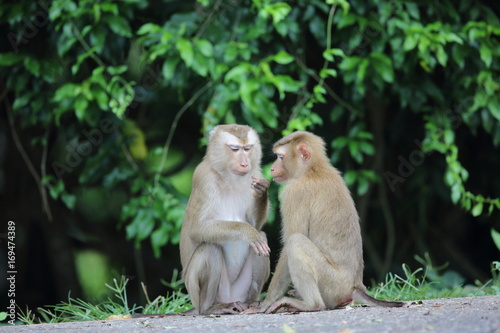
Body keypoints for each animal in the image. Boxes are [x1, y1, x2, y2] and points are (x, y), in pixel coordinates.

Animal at [180, 124, 272, 314]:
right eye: (235, 149)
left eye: (248, 148)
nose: (245, 163)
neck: (228, 176)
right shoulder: (203, 178)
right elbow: (197, 229)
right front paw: (248, 232)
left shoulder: (255, 173)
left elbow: (255, 224)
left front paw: (262, 192)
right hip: (202, 292)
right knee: (210, 248)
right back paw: (210, 308)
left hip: (240, 291)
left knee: (262, 241)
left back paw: (250, 304)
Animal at [244, 130, 404, 314]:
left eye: (280, 157)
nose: (272, 168)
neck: (313, 170)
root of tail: (356, 287)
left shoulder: (294, 192)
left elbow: (291, 240)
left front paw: (266, 302)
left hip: (332, 285)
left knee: (295, 242)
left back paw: (311, 305)